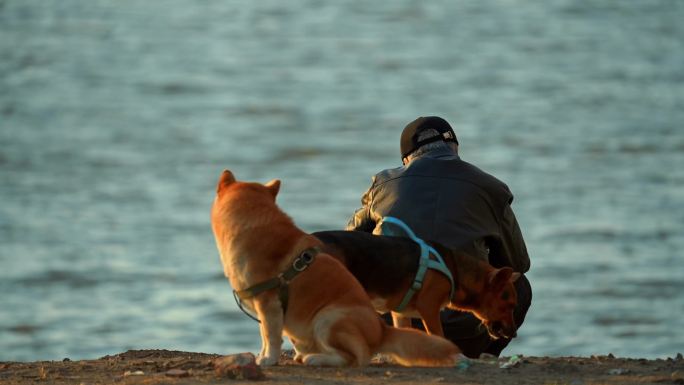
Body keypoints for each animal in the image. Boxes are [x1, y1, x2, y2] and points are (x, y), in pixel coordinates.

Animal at [211, 170, 462, 366]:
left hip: (328, 318)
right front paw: (262, 356)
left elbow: (270, 336)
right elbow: (265, 336)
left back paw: (316, 359)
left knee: (354, 358)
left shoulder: (269, 302)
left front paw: (268, 359)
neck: (251, 225)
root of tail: (382, 330)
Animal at [312, 230, 520, 338]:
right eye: (508, 305)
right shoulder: (429, 309)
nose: (514, 334)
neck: (455, 269)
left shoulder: (400, 314)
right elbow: (438, 335)